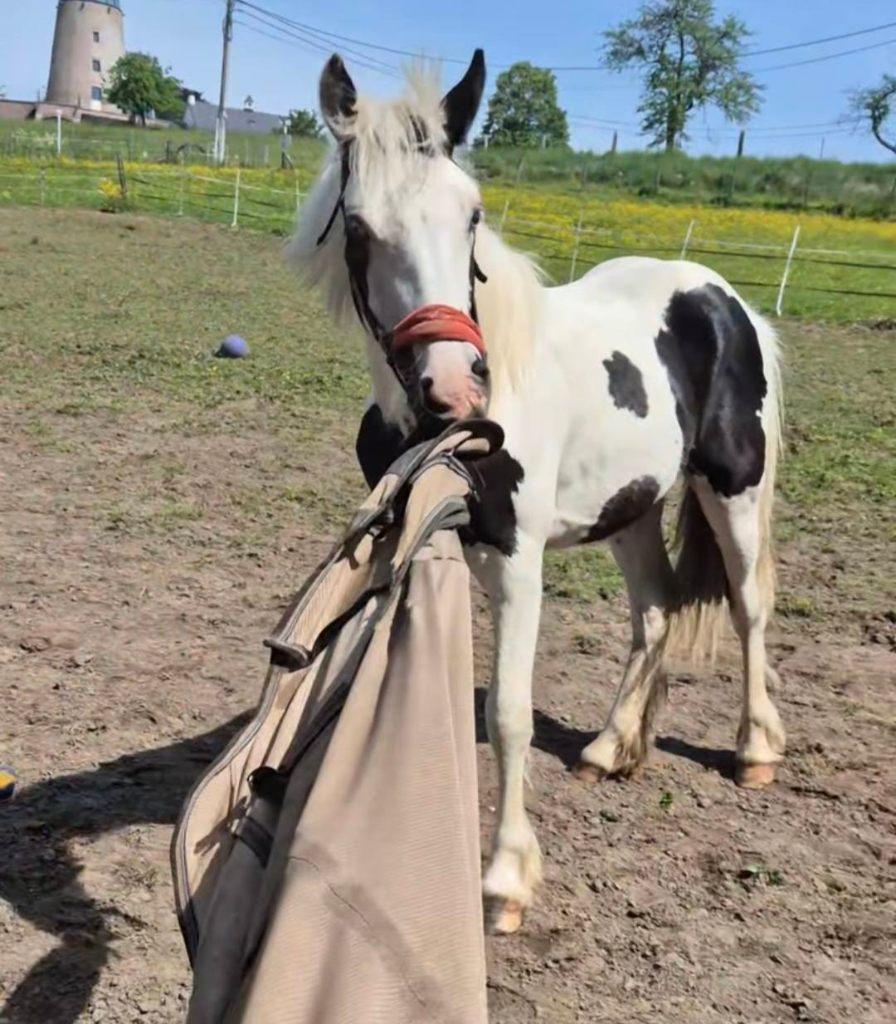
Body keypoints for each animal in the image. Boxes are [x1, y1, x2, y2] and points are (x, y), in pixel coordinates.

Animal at [288, 51, 787, 934]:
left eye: (473, 215)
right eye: (358, 230)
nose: (454, 386)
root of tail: (728, 303)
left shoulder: (518, 563)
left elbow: (510, 713)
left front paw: (505, 880)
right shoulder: (412, 542)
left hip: (732, 488)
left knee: (748, 607)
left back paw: (754, 750)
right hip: (632, 505)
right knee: (655, 612)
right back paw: (611, 748)